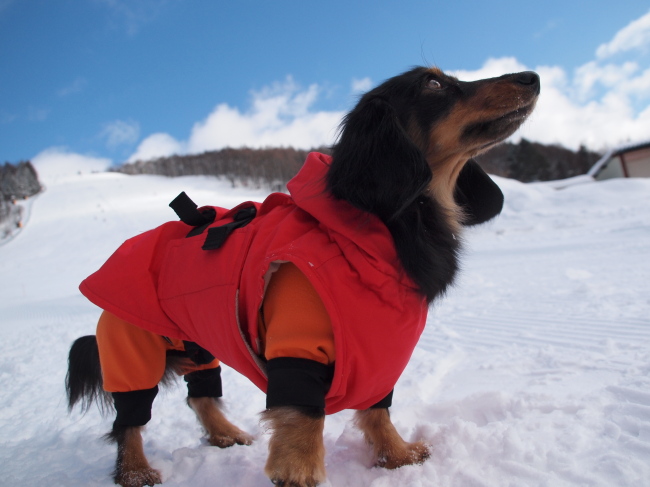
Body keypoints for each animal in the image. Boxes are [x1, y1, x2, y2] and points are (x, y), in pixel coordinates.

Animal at [68, 66, 540, 487]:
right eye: (433, 83)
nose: (532, 77)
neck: (379, 228)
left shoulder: (380, 349)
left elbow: (378, 408)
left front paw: (397, 454)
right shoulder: (298, 342)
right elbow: (303, 417)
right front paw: (298, 471)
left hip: (197, 343)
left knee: (200, 393)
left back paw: (224, 434)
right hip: (133, 345)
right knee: (129, 419)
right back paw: (135, 471)